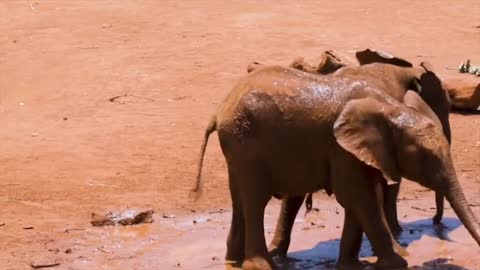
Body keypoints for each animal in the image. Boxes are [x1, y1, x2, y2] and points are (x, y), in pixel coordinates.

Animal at [191, 63, 480, 270]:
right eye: (426, 157)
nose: (436, 224)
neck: (391, 108)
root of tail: (220, 110)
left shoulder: (358, 151)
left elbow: (358, 199)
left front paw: (352, 266)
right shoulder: (341, 149)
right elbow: (358, 196)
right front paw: (399, 263)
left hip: (237, 147)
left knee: (239, 198)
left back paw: (233, 261)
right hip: (245, 142)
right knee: (255, 200)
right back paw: (260, 265)